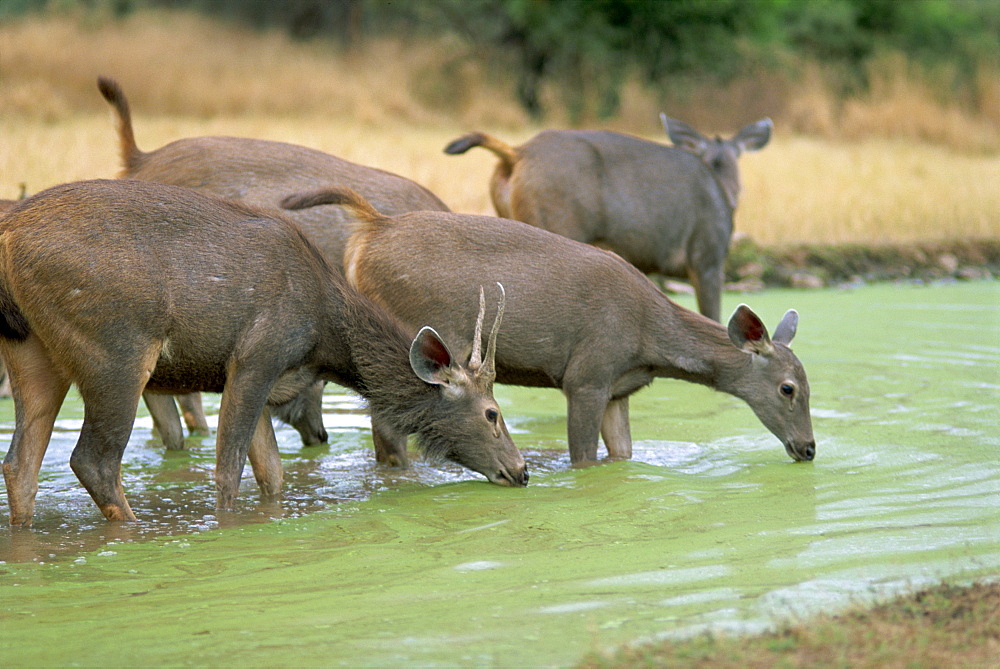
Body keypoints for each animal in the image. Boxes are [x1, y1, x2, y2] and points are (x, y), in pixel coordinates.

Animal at [0, 180, 528, 524]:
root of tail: (9, 234)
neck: (324, 336)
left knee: (20, 466)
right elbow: (228, 471)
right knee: (94, 461)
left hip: (30, 350)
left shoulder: (263, 375)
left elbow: (272, 475)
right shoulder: (257, 356)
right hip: (117, 350)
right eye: (492, 413)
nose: (521, 472)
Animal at [280, 188, 812, 468]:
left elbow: (623, 453)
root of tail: (371, 230)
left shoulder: (617, 388)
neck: (650, 339)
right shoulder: (587, 375)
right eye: (788, 388)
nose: (808, 448)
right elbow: (584, 458)